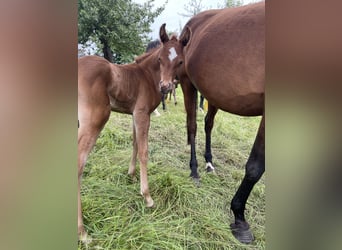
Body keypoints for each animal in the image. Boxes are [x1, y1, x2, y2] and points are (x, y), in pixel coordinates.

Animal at [77, 23, 186, 240]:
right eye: (160, 59)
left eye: (179, 61)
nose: (166, 87)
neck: (146, 75)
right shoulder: (142, 113)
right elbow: (144, 150)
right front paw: (147, 196)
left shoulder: (135, 113)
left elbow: (135, 143)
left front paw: (131, 175)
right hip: (95, 120)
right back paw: (83, 233)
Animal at [159, 2, 266, 244]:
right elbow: (256, 167)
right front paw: (239, 218)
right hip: (187, 83)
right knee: (193, 126)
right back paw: (195, 171)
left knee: (207, 123)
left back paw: (208, 162)